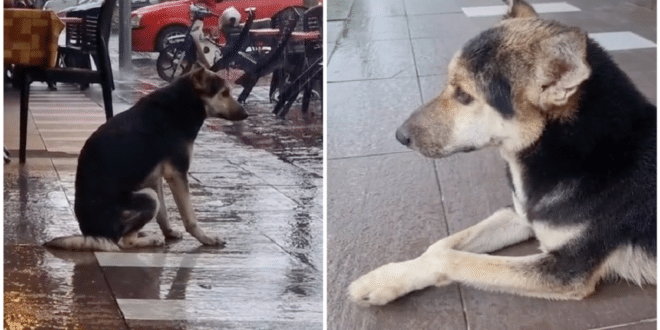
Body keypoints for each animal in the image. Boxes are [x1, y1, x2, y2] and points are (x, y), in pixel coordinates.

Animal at [46, 66, 248, 253]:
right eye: (224, 93)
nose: (246, 114)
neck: (183, 102)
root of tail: (92, 234)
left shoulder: (155, 177)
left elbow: (163, 213)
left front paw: (169, 232)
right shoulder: (177, 174)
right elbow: (189, 217)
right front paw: (205, 238)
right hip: (147, 198)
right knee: (123, 242)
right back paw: (149, 240)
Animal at [350, 0, 656, 304]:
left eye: (464, 95)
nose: (400, 136)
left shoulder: (567, 268)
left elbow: (452, 259)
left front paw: (389, 278)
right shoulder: (518, 214)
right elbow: (441, 246)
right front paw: (390, 278)